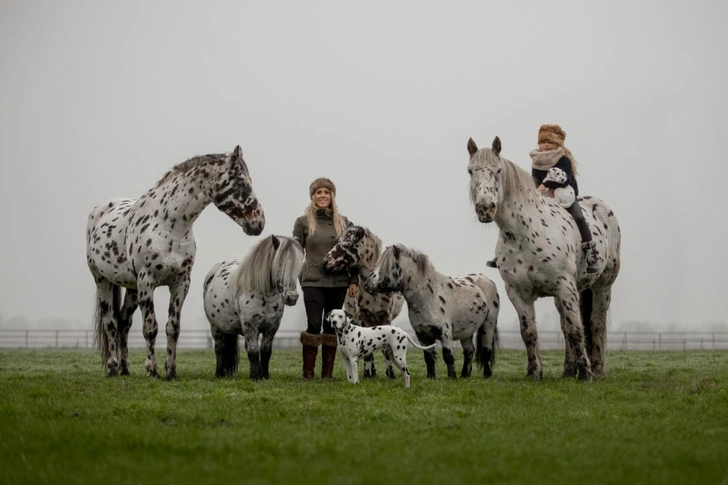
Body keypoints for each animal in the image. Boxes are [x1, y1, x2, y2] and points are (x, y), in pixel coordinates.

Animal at [87, 146, 264, 380]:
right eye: (242, 182)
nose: (259, 223)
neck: (168, 226)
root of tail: (99, 211)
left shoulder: (180, 283)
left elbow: (173, 328)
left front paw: (171, 371)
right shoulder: (147, 282)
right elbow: (150, 328)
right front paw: (152, 370)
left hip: (132, 288)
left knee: (124, 322)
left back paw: (125, 368)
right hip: (103, 280)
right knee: (111, 323)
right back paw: (113, 367)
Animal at [202, 234, 304, 378]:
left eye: (298, 266)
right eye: (279, 264)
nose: (292, 297)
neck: (265, 297)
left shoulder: (272, 327)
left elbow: (265, 351)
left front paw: (264, 376)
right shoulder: (250, 326)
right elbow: (254, 351)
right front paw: (255, 377)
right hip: (215, 327)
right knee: (219, 348)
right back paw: (219, 374)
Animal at [322, 223, 406, 378]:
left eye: (348, 243)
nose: (325, 263)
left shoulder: (385, 317)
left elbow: (385, 350)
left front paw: (390, 374)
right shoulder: (364, 316)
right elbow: (368, 352)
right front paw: (367, 374)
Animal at [364, 242, 500, 378]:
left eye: (386, 266)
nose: (366, 285)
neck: (428, 297)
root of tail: (486, 279)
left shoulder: (445, 334)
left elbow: (448, 356)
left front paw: (452, 377)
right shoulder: (422, 335)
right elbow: (428, 358)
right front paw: (431, 377)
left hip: (488, 324)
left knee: (486, 350)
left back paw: (487, 375)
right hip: (467, 330)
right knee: (469, 351)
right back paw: (464, 375)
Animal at [466, 135, 620, 378]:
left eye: (498, 170)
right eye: (471, 171)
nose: (485, 208)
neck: (524, 233)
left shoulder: (565, 286)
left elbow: (577, 330)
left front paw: (586, 373)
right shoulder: (517, 292)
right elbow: (530, 332)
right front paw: (534, 372)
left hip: (602, 286)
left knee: (596, 323)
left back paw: (596, 368)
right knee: (566, 327)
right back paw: (568, 370)